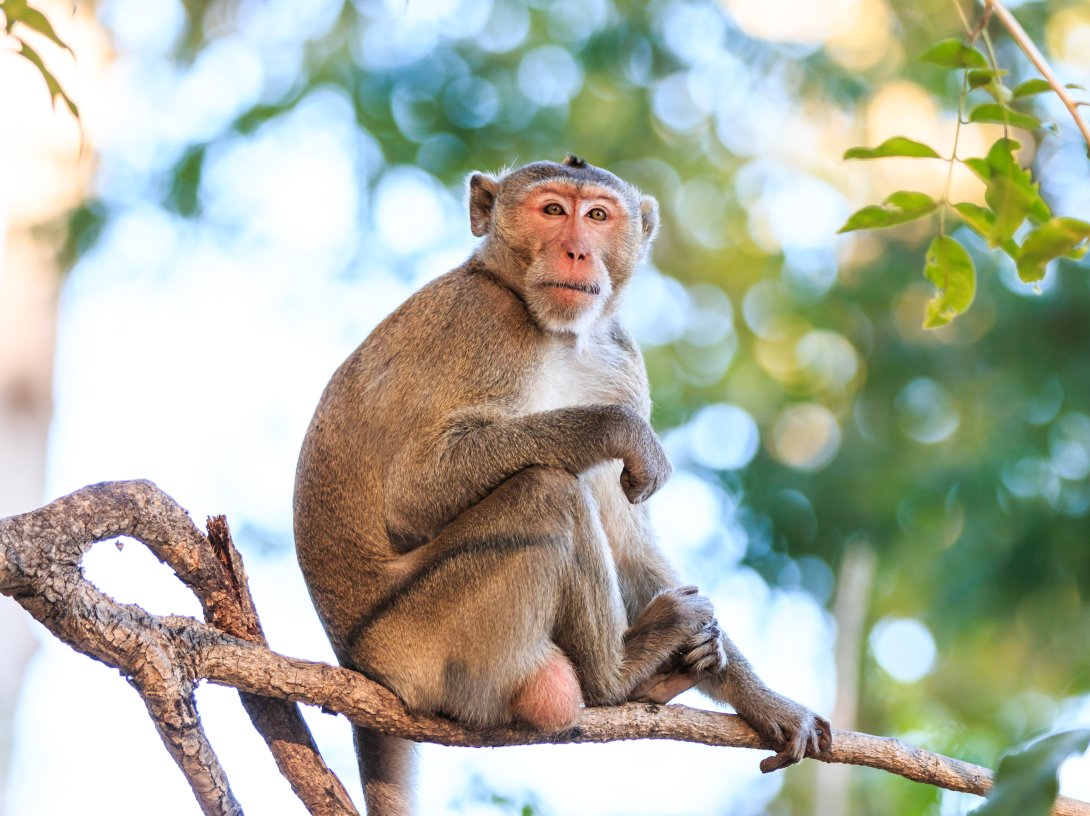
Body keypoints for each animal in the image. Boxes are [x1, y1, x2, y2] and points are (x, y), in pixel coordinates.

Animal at [294, 155, 831, 816]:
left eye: (597, 215)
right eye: (552, 210)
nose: (576, 251)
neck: (553, 332)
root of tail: (360, 664)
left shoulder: (618, 358)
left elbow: (629, 543)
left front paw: (762, 700)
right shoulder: (484, 324)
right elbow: (414, 493)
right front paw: (618, 431)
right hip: (424, 636)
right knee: (545, 491)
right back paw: (619, 676)